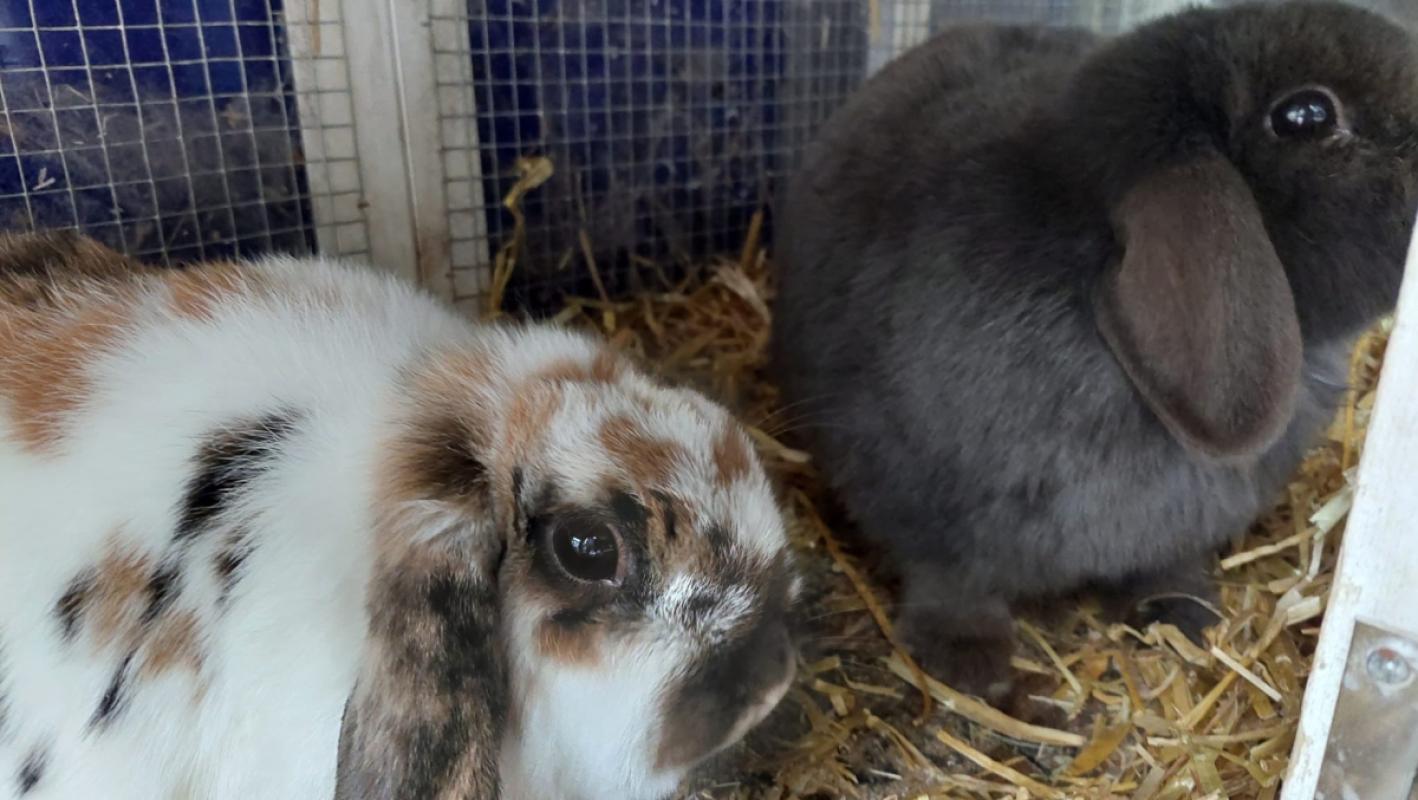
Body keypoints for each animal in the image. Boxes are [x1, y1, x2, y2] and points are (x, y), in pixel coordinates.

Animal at [772, 1, 1418, 702]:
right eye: (1306, 115)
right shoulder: (922, 512)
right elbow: (951, 584)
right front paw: (969, 665)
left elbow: (1164, 569)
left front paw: (1184, 616)